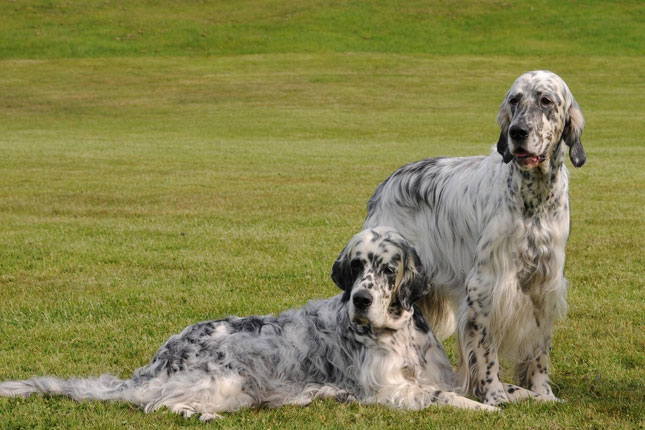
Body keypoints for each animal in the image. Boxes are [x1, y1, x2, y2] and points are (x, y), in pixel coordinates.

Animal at [0, 228, 494, 420]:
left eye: (387, 269)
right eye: (356, 267)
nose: (361, 299)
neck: (400, 338)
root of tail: (159, 358)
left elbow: (459, 386)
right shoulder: (388, 392)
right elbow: (440, 397)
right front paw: (485, 409)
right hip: (228, 382)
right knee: (156, 405)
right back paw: (196, 415)